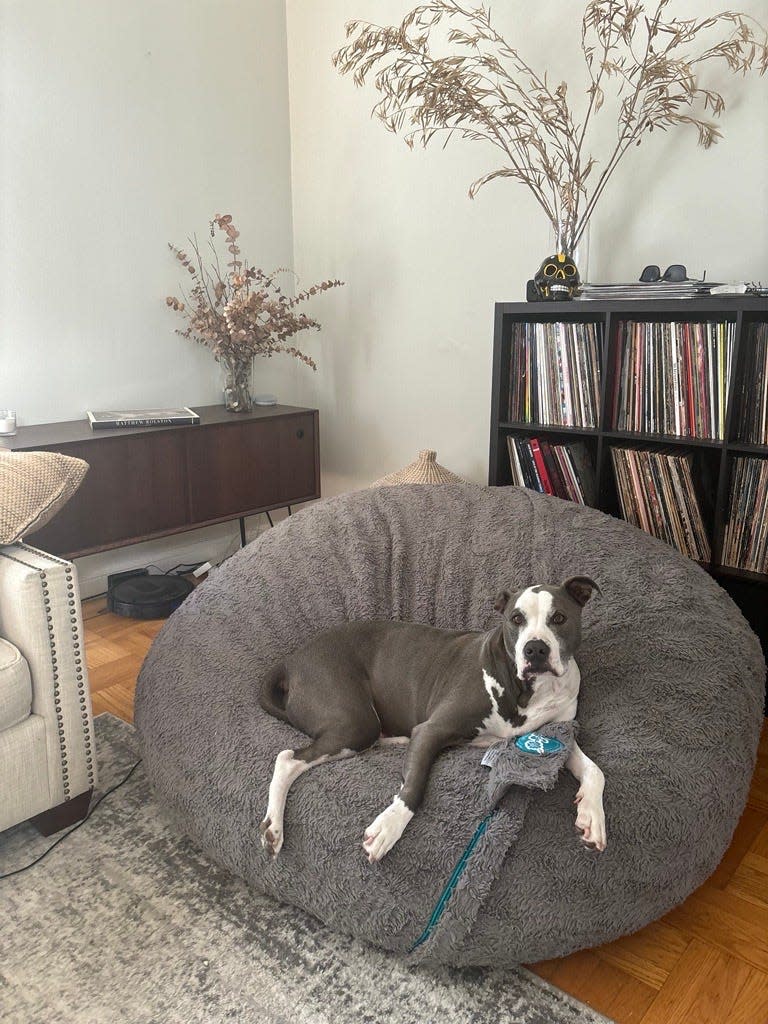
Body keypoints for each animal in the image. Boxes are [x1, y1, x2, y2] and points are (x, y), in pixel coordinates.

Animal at [259, 581, 606, 860]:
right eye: (516, 619)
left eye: (558, 618)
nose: (535, 649)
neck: (527, 692)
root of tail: (291, 662)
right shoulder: (431, 730)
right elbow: (414, 785)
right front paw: (389, 826)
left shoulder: (558, 732)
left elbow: (594, 770)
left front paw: (592, 817)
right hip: (355, 724)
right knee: (287, 758)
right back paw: (273, 828)